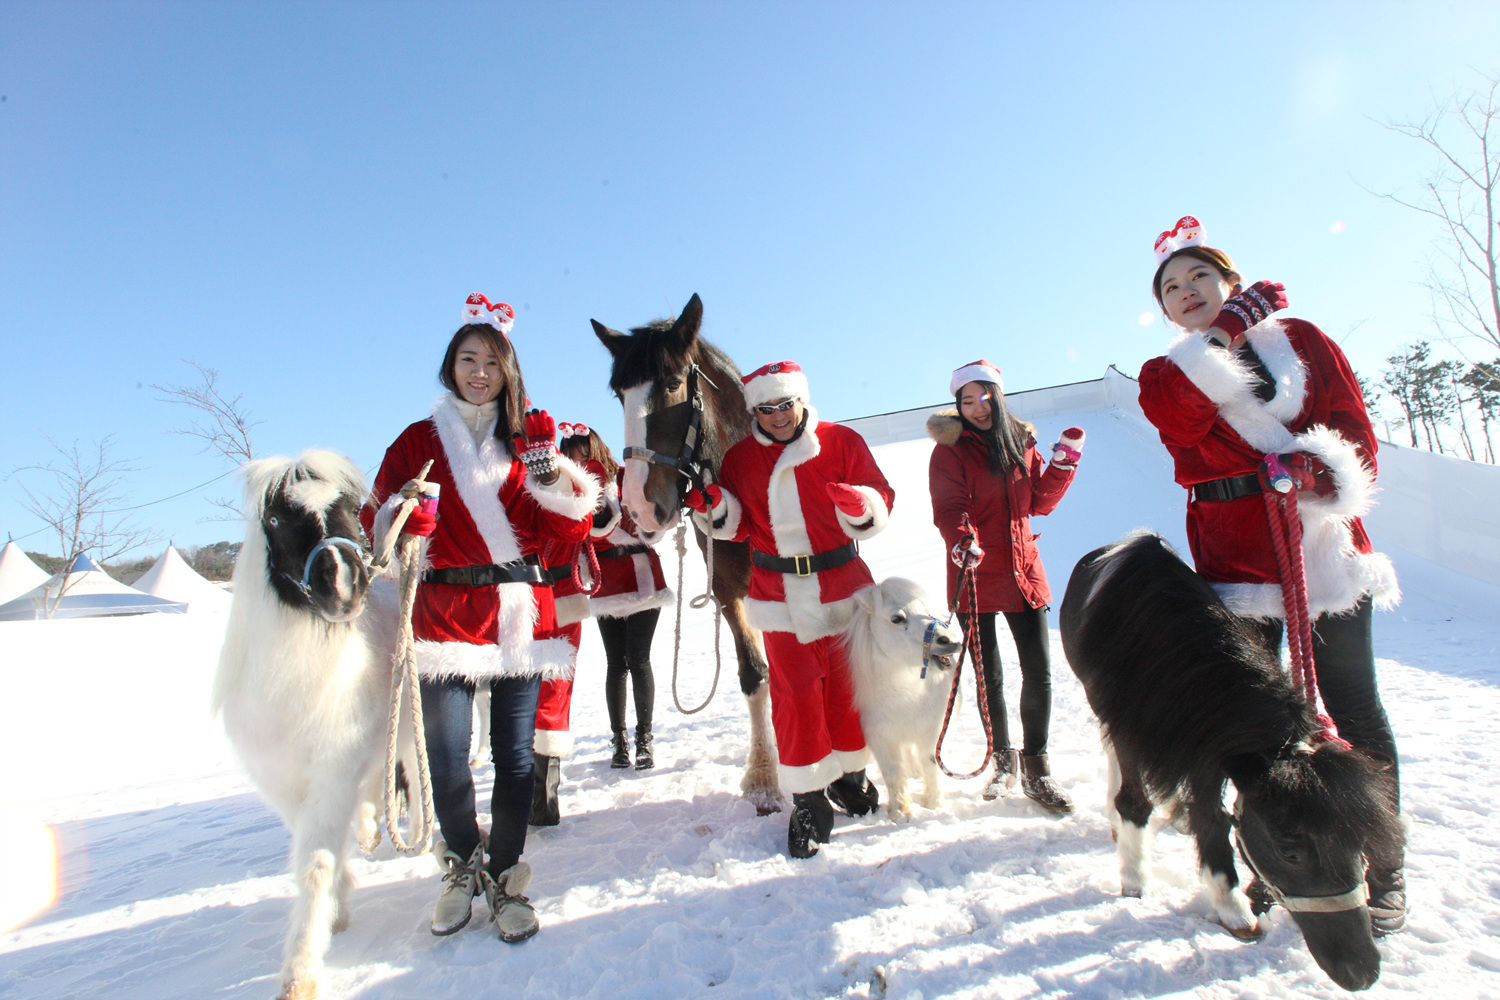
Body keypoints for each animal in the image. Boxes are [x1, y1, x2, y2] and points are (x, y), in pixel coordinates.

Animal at [211, 452, 417, 1000]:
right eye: (276, 518)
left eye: (348, 507)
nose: (344, 583)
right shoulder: (280, 780)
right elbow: (320, 849)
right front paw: (339, 907)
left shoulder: (332, 768)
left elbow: (314, 863)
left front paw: (300, 971)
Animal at [591, 295, 786, 815]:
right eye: (619, 395)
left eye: (674, 383)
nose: (639, 506)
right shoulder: (728, 592)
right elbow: (754, 673)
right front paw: (764, 779)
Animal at [846, 578, 960, 821]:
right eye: (897, 618)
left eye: (926, 611)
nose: (951, 641)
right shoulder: (880, 738)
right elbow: (893, 774)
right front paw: (900, 812)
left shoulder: (932, 731)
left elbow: (931, 764)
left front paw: (933, 804)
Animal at [1062, 530, 1398, 995]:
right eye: (1289, 851)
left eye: (1359, 845)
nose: (1363, 971)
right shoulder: (1130, 725)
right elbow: (1135, 800)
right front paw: (1135, 879)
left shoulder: (1212, 746)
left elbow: (1213, 817)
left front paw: (1232, 907)